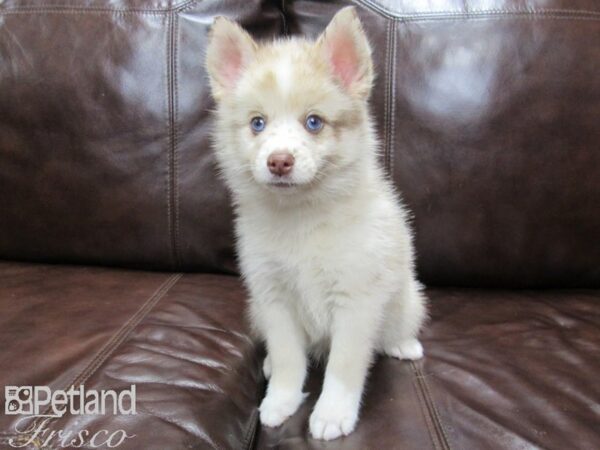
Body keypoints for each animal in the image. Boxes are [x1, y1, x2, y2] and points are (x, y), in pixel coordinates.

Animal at [206, 7, 426, 442]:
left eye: (314, 122)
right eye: (257, 123)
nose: (279, 161)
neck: (301, 219)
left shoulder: (356, 301)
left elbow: (344, 366)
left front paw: (332, 413)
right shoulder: (274, 299)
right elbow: (289, 358)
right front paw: (280, 399)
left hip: (408, 300)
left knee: (394, 330)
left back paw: (403, 345)